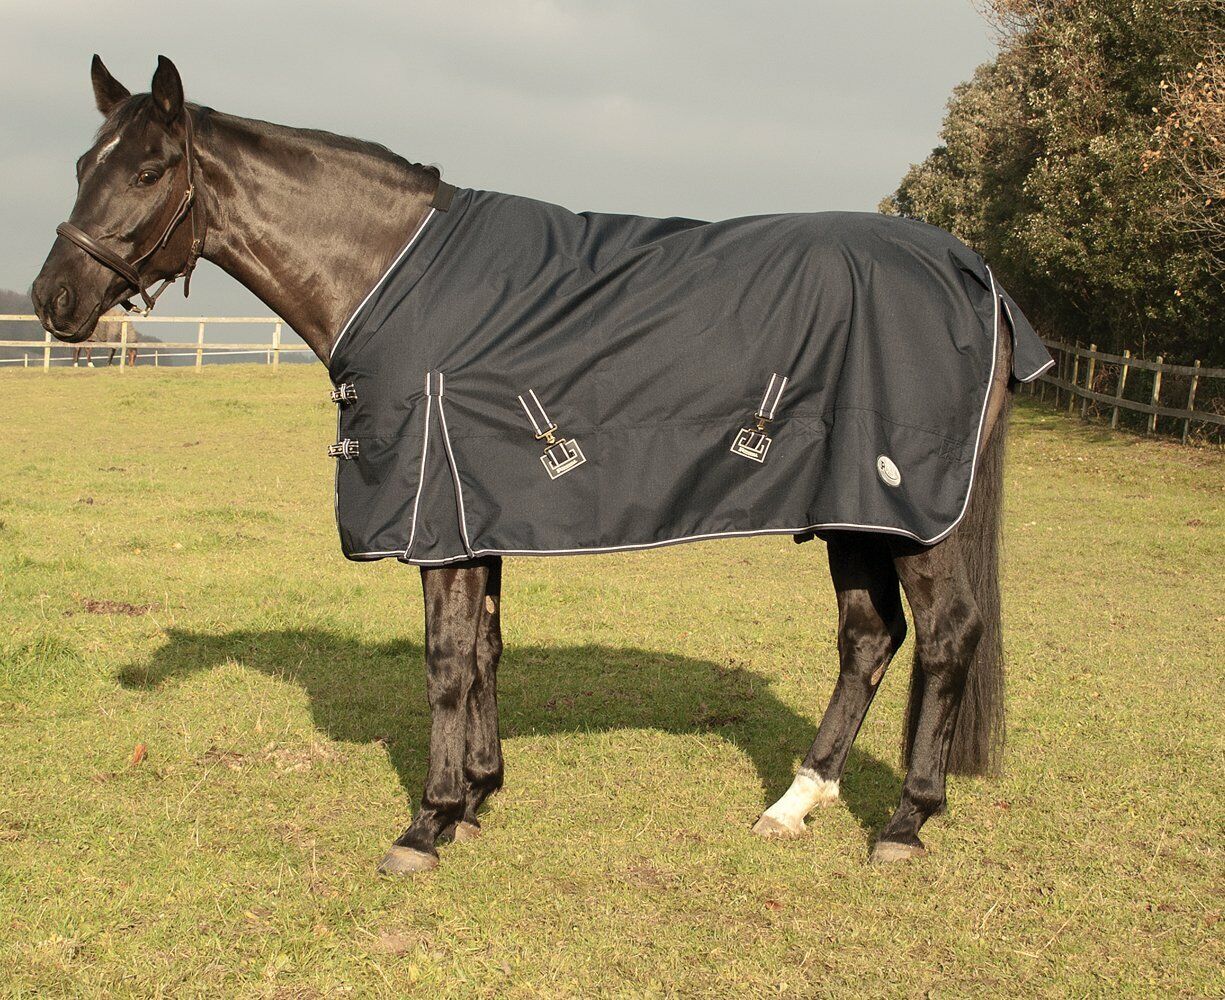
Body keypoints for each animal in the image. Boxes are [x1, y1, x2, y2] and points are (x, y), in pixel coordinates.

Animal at [33, 55, 1020, 874]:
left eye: (149, 172)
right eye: (84, 166)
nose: (54, 299)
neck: (391, 276)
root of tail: (972, 273)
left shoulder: (434, 512)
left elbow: (444, 660)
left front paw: (426, 825)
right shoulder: (475, 509)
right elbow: (484, 650)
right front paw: (476, 797)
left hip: (916, 509)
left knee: (946, 636)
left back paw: (903, 822)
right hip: (854, 510)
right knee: (868, 639)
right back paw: (795, 803)